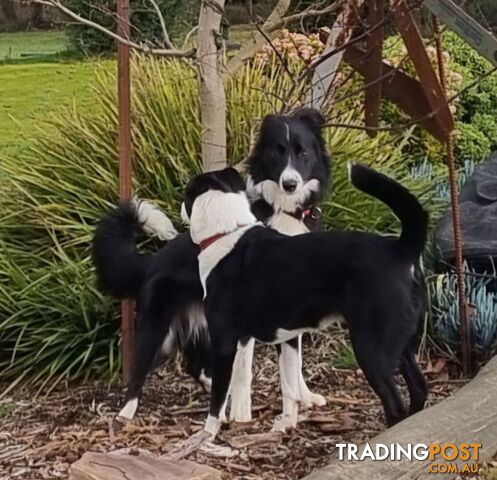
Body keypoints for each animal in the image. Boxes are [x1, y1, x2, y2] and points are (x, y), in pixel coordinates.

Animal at [92, 108, 330, 428]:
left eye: (302, 153)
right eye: (277, 153)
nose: (290, 183)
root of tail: (153, 259)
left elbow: (293, 362)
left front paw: (302, 399)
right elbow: (248, 368)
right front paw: (243, 413)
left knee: (194, 364)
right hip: (158, 329)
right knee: (140, 371)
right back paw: (126, 414)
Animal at [180, 164, 428, 438]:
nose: (179, 207)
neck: (226, 234)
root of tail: (400, 250)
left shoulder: (224, 343)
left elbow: (218, 399)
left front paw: (206, 435)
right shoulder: (287, 339)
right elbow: (290, 385)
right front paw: (287, 423)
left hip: (371, 349)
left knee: (394, 405)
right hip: (401, 344)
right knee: (419, 388)